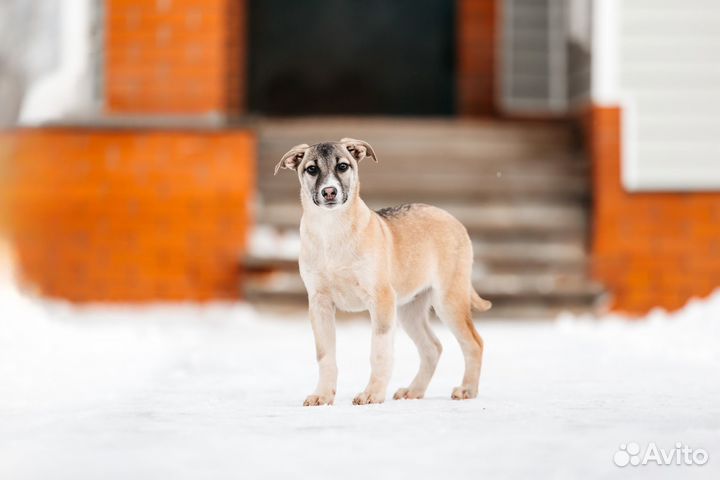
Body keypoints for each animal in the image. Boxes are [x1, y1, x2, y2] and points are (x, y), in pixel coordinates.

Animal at [272, 138, 492, 404]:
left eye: (343, 166)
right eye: (311, 169)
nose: (329, 191)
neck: (331, 229)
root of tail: (451, 217)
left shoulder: (381, 299)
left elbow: (379, 351)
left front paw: (372, 394)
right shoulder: (319, 303)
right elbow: (325, 356)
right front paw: (322, 395)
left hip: (448, 299)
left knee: (474, 342)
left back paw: (467, 389)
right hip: (409, 308)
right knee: (432, 347)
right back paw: (414, 391)